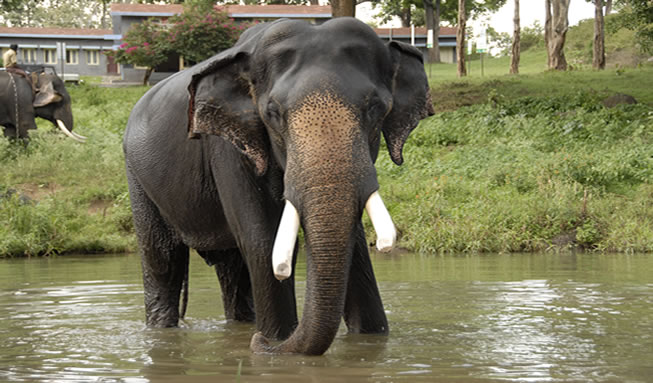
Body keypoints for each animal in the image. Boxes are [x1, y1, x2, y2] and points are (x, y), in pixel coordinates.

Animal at [125, 16, 436, 356]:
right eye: (273, 114)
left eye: (376, 108)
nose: (260, 342)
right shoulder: (230, 148)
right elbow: (261, 240)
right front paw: (275, 341)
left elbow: (354, 246)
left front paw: (370, 339)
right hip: (137, 177)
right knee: (162, 259)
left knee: (232, 270)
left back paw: (243, 324)